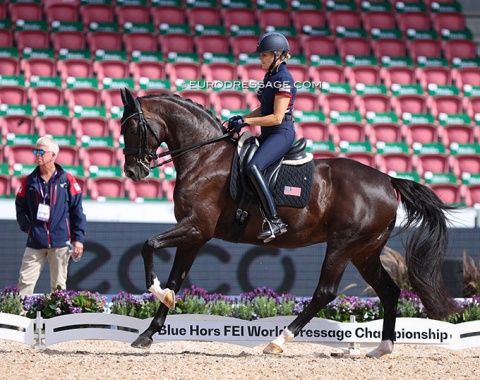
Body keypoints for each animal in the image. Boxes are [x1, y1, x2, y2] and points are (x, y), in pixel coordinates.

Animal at [118, 89, 460, 360]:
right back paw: (382, 348)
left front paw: (155, 290)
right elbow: (175, 280)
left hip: (342, 245)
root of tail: (388, 179)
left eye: (133, 127)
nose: (133, 172)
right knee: (389, 291)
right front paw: (149, 330)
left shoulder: (196, 227)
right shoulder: (194, 237)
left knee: (325, 293)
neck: (205, 156)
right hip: (365, 251)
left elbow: (148, 245)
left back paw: (279, 341)